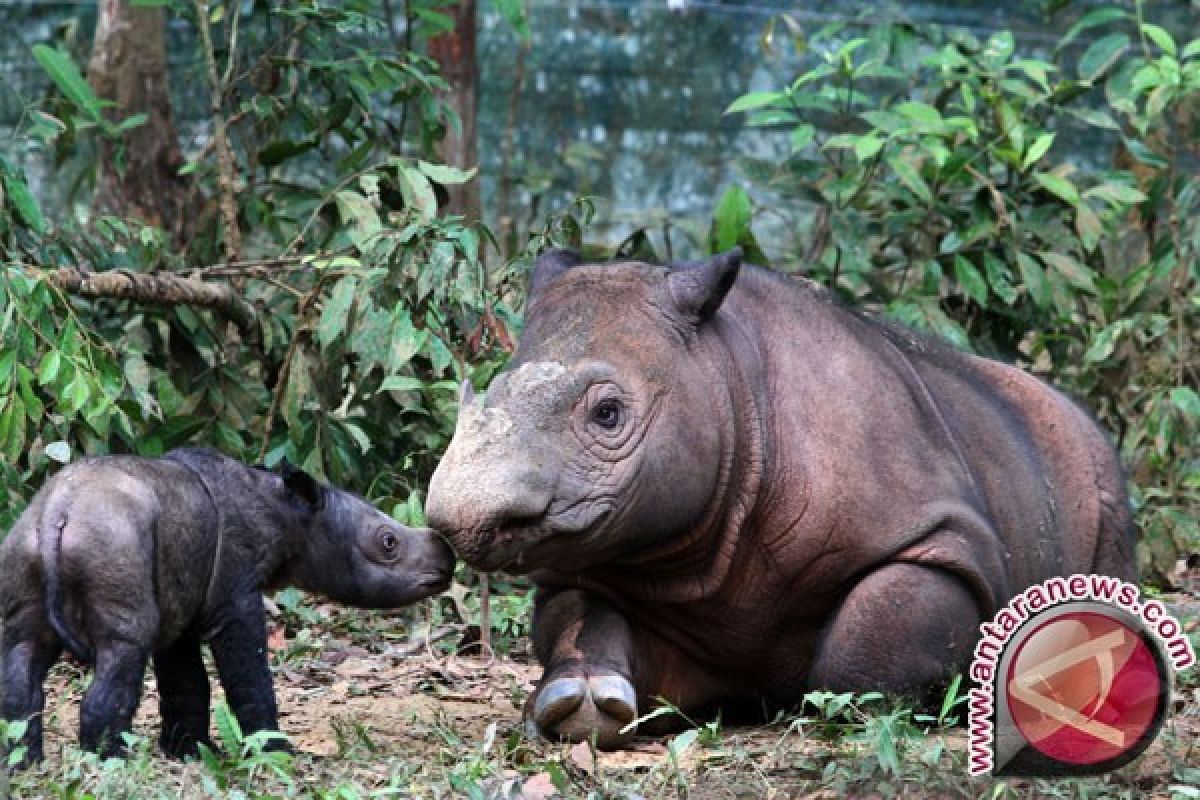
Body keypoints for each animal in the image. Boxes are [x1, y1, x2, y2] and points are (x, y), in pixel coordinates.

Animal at [1, 450, 451, 762]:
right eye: (388, 542)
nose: (444, 555)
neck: (291, 515)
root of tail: (58, 513)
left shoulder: (183, 601)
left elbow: (186, 682)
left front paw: (189, 753)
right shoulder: (234, 596)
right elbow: (247, 674)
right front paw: (276, 753)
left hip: (24, 542)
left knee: (24, 647)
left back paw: (25, 764)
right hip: (111, 544)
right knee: (125, 645)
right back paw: (112, 762)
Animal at [427, 248, 1137, 753]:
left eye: (608, 414)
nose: (462, 522)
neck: (727, 382)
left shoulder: (938, 538)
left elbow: (874, 640)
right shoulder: (596, 556)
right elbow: (580, 619)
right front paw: (578, 707)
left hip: (1092, 464)